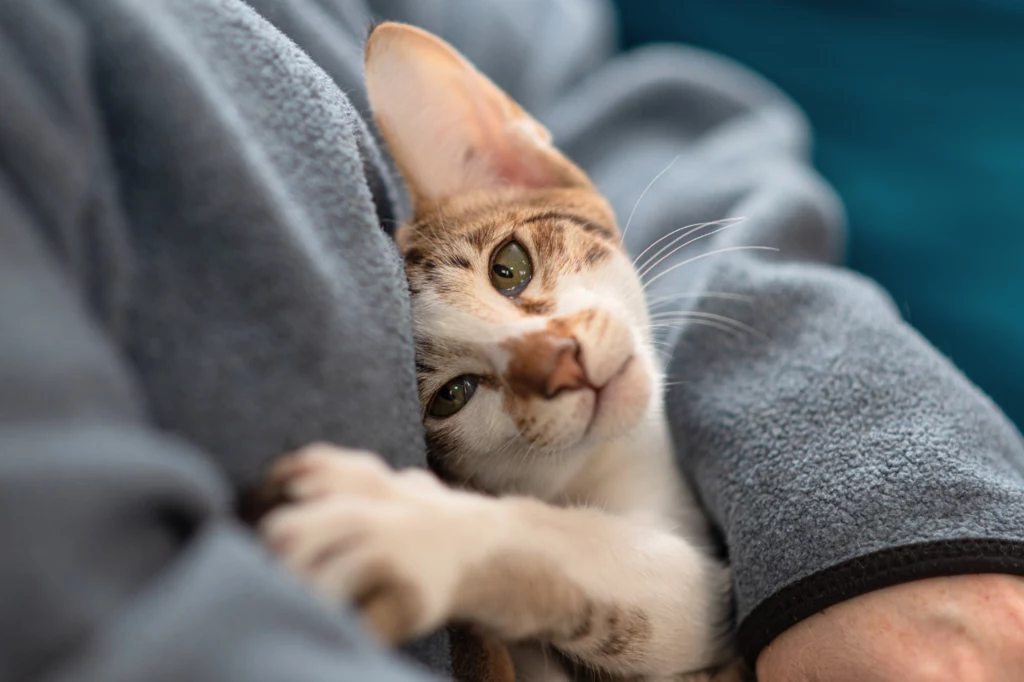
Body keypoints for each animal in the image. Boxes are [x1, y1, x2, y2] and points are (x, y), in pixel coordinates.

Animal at [262, 21, 745, 679]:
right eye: (453, 395)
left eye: (508, 267)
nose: (563, 362)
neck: (602, 468)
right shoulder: (705, 601)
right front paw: (417, 530)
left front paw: (415, 527)